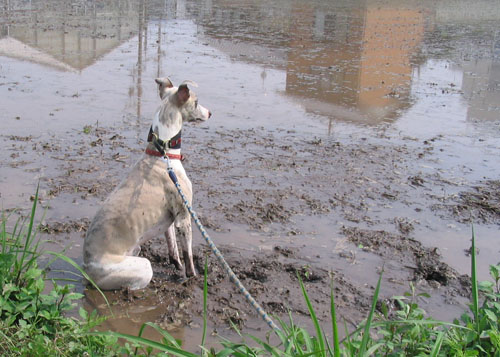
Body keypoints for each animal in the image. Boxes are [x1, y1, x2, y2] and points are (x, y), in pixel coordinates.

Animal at [83, 78, 211, 290]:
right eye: (196, 101)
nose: (210, 113)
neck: (163, 154)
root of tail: (86, 270)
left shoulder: (170, 219)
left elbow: (173, 248)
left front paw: (176, 265)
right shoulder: (184, 217)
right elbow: (188, 254)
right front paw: (192, 275)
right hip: (142, 266)